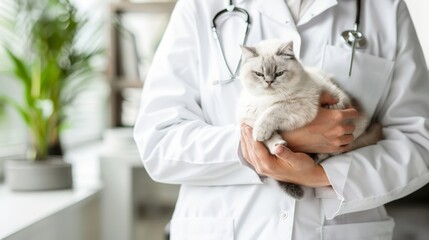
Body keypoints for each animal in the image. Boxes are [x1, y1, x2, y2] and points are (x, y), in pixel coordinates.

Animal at [237, 39, 382, 200]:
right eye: (259, 74)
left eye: (279, 73)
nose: (269, 82)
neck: (266, 99)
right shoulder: (248, 119)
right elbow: (266, 138)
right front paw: (275, 144)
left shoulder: (296, 106)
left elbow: (271, 113)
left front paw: (262, 132)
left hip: (335, 95)